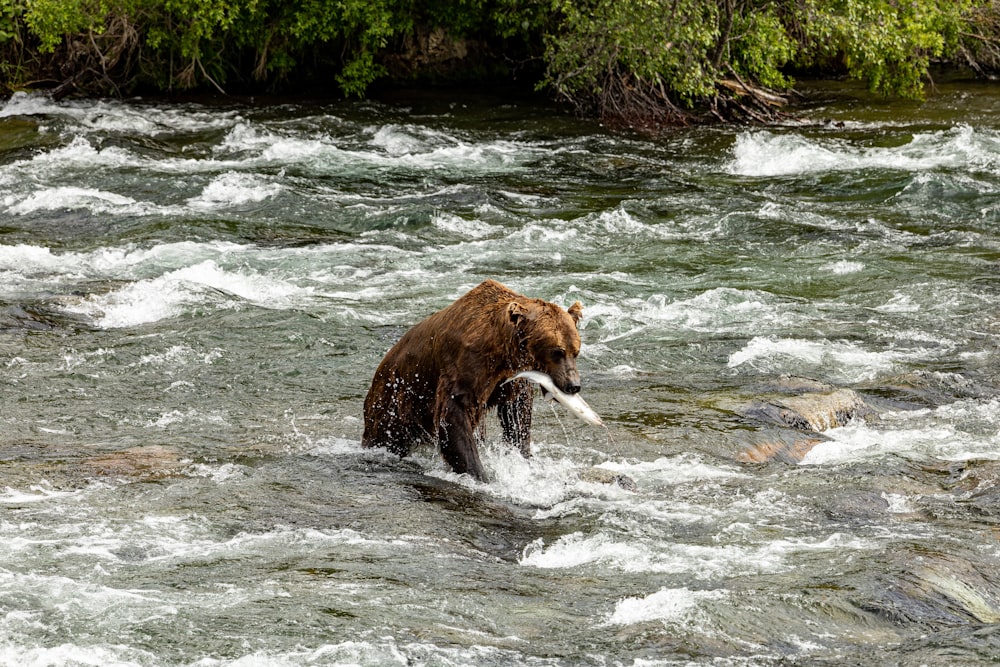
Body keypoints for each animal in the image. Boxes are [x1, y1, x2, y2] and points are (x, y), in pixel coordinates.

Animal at [362, 280, 584, 482]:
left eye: (575, 351)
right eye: (557, 352)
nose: (573, 385)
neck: (502, 349)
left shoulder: (512, 378)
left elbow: (516, 415)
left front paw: (521, 456)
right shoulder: (469, 365)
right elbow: (455, 413)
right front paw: (479, 474)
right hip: (395, 401)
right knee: (383, 435)